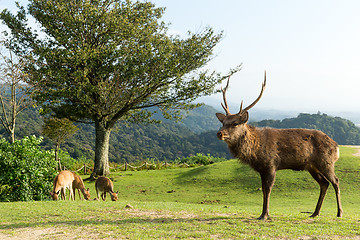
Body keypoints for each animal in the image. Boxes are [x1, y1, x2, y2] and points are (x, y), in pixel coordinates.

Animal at [217, 72, 344, 220]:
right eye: (223, 122)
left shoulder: (272, 164)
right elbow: (263, 190)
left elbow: (268, 189)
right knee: (324, 183)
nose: (220, 133)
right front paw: (262, 213)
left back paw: (339, 212)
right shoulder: (261, 169)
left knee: (336, 181)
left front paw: (265, 215)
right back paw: (315, 213)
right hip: (311, 166)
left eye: (235, 123)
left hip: (326, 162)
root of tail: (336, 146)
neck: (255, 151)